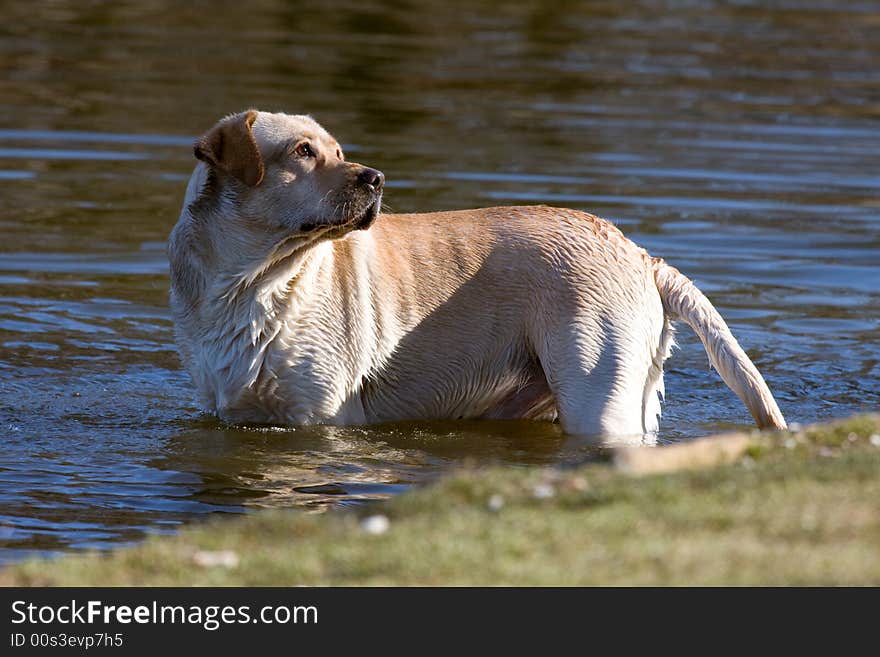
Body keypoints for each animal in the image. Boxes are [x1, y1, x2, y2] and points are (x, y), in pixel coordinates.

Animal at [168, 110, 788, 438]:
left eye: (338, 151)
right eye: (302, 152)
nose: (376, 177)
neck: (250, 280)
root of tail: (640, 254)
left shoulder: (322, 415)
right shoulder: (228, 410)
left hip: (598, 393)